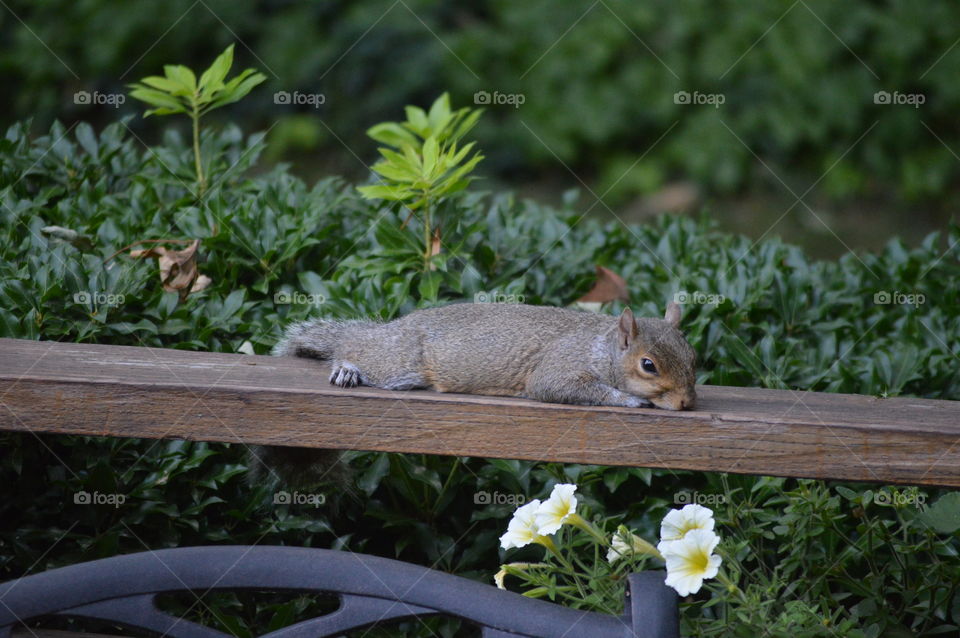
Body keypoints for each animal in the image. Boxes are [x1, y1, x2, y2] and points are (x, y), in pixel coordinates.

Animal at [251, 302, 692, 488]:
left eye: (692, 355)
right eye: (648, 365)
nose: (687, 402)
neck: (603, 348)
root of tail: (389, 330)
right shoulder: (558, 368)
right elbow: (562, 387)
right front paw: (631, 399)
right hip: (397, 361)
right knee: (355, 350)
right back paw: (347, 367)